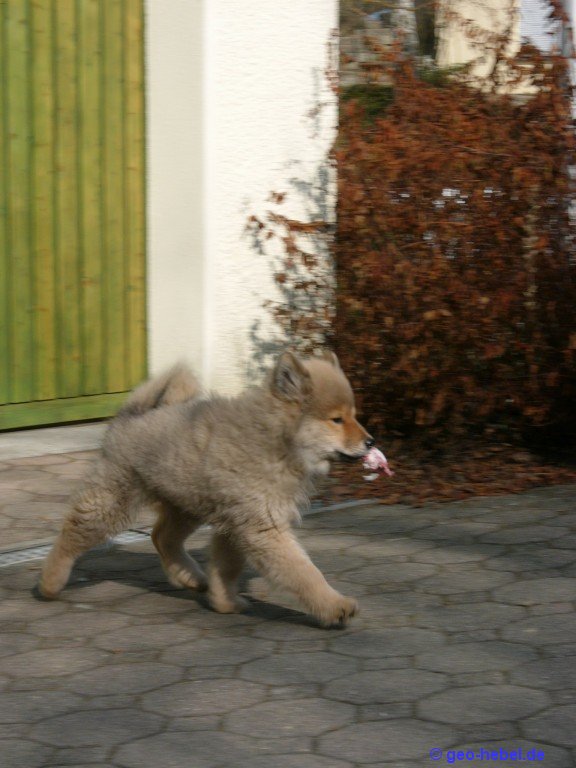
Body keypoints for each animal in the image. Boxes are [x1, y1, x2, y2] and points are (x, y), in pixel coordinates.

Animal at [39, 351, 374, 627]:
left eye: (353, 415)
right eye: (337, 419)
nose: (370, 441)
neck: (277, 441)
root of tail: (130, 414)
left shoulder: (237, 523)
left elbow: (227, 568)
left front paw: (224, 602)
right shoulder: (261, 527)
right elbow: (304, 572)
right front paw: (334, 605)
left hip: (186, 504)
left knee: (162, 536)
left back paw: (192, 578)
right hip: (115, 501)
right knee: (73, 531)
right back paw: (49, 583)